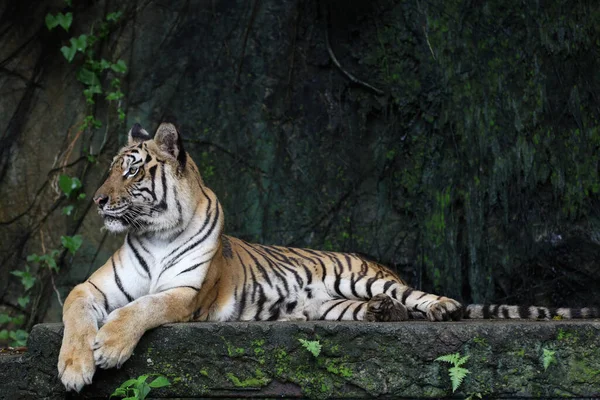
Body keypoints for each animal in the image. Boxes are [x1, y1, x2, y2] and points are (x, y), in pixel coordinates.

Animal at [57, 121, 600, 390]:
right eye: (110, 169)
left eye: (129, 171)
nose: (97, 201)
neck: (153, 233)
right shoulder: (93, 287)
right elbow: (75, 313)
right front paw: (75, 367)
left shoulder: (185, 294)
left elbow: (141, 308)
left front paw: (110, 347)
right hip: (333, 305)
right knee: (377, 307)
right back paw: (384, 314)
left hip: (362, 278)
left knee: (418, 294)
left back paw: (439, 307)